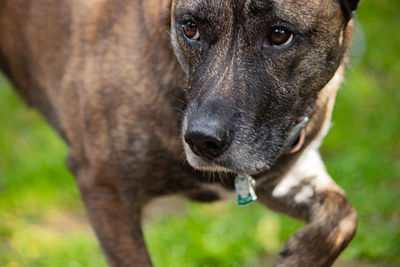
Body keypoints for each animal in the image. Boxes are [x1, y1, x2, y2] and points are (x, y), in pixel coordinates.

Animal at [0, 0, 360, 266]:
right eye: (190, 28)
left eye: (280, 34)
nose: (202, 141)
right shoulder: (106, 190)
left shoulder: (281, 176)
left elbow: (345, 216)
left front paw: (300, 257)